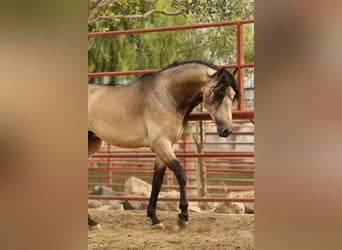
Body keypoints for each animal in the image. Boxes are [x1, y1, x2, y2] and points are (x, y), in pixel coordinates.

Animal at [87, 59, 239, 229]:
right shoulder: (161, 144)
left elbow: (157, 181)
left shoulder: (166, 147)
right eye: (218, 94)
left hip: (93, 143)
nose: (227, 130)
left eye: (232, 96)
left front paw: (155, 219)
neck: (166, 96)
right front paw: (182, 217)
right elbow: (181, 174)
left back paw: (92, 223)